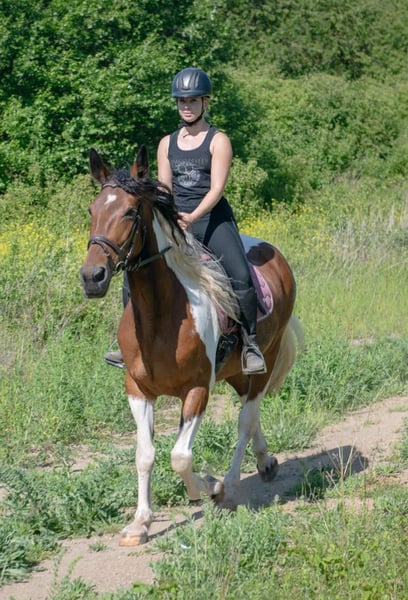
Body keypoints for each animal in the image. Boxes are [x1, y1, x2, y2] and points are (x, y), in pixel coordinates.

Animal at [80, 145, 303, 546]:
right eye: (92, 210)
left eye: (130, 211)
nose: (92, 277)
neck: (160, 317)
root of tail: (275, 254)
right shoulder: (137, 389)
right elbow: (145, 454)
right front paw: (139, 523)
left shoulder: (198, 389)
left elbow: (180, 456)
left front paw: (209, 487)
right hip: (233, 372)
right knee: (251, 414)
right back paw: (265, 462)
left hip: (266, 356)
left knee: (247, 418)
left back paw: (230, 485)